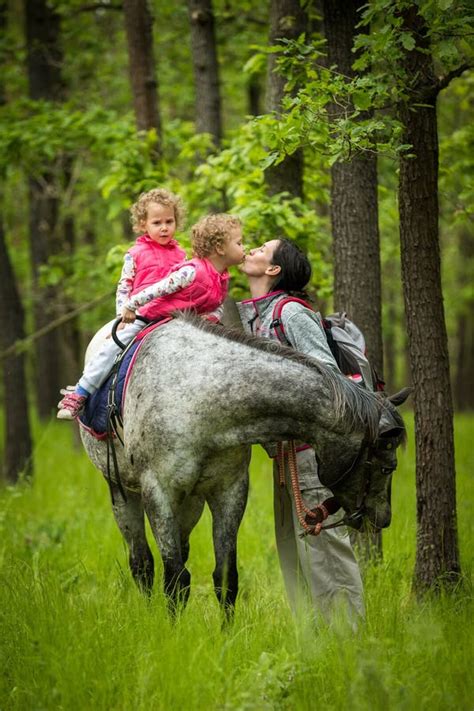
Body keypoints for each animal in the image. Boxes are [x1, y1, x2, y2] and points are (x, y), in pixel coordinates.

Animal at [81, 316, 408, 612]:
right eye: (388, 467)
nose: (383, 518)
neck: (201, 395)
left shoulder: (229, 491)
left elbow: (225, 578)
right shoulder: (159, 493)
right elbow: (175, 579)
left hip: (191, 502)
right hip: (122, 492)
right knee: (142, 563)